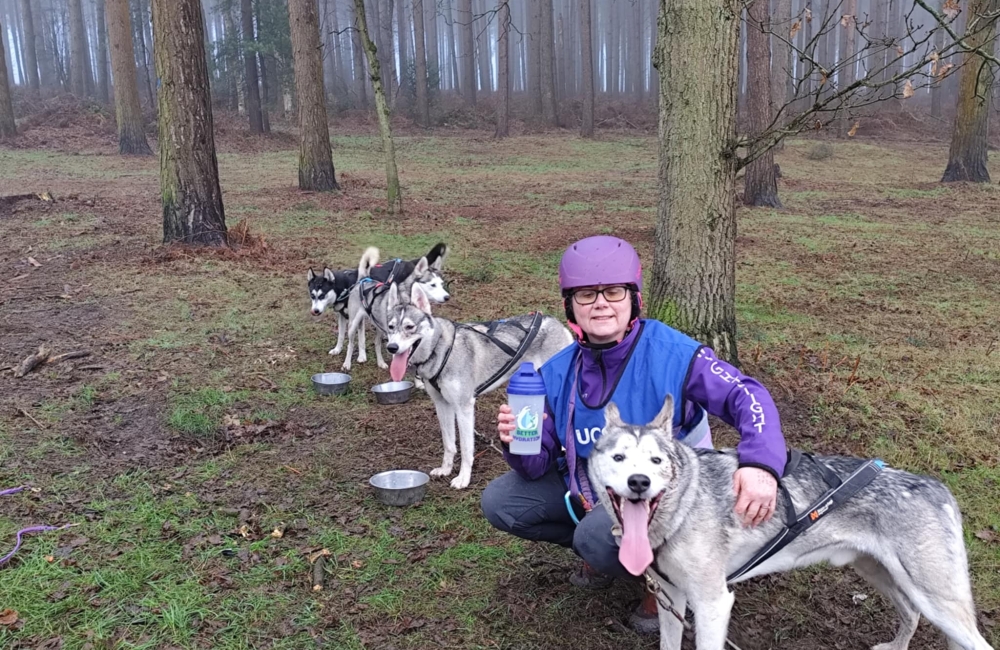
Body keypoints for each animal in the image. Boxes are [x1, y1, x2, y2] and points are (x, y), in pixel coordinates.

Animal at [342, 242, 452, 372]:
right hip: (353, 325)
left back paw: (380, 362)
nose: (447, 297)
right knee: (350, 344)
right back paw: (347, 363)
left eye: (442, 284)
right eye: (433, 285)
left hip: (379, 328)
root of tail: (363, 279)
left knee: (377, 344)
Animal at [382, 280, 572, 488]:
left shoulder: (464, 407)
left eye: (410, 327)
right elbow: (449, 443)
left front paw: (463, 478)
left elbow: (466, 449)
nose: (392, 348)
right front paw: (446, 469)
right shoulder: (442, 405)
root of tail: (554, 321)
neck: (441, 349)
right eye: (390, 327)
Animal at [584, 394, 992, 648]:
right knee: (910, 615)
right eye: (619, 458)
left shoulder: (713, 604)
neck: (682, 508)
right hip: (880, 574)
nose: (639, 482)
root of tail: (938, 487)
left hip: (936, 600)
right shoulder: (672, 596)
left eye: (656, 461)